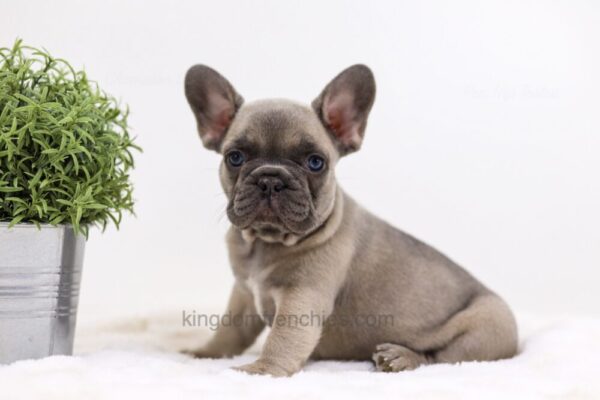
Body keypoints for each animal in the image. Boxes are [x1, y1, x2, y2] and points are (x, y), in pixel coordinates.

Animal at [185, 64, 516, 376]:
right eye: (235, 157)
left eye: (315, 162)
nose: (270, 179)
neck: (265, 242)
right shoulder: (243, 295)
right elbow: (230, 330)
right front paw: (205, 353)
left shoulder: (301, 296)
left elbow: (282, 338)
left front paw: (261, 371)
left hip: (486, 327)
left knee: (440, 358)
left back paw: (400, 357)